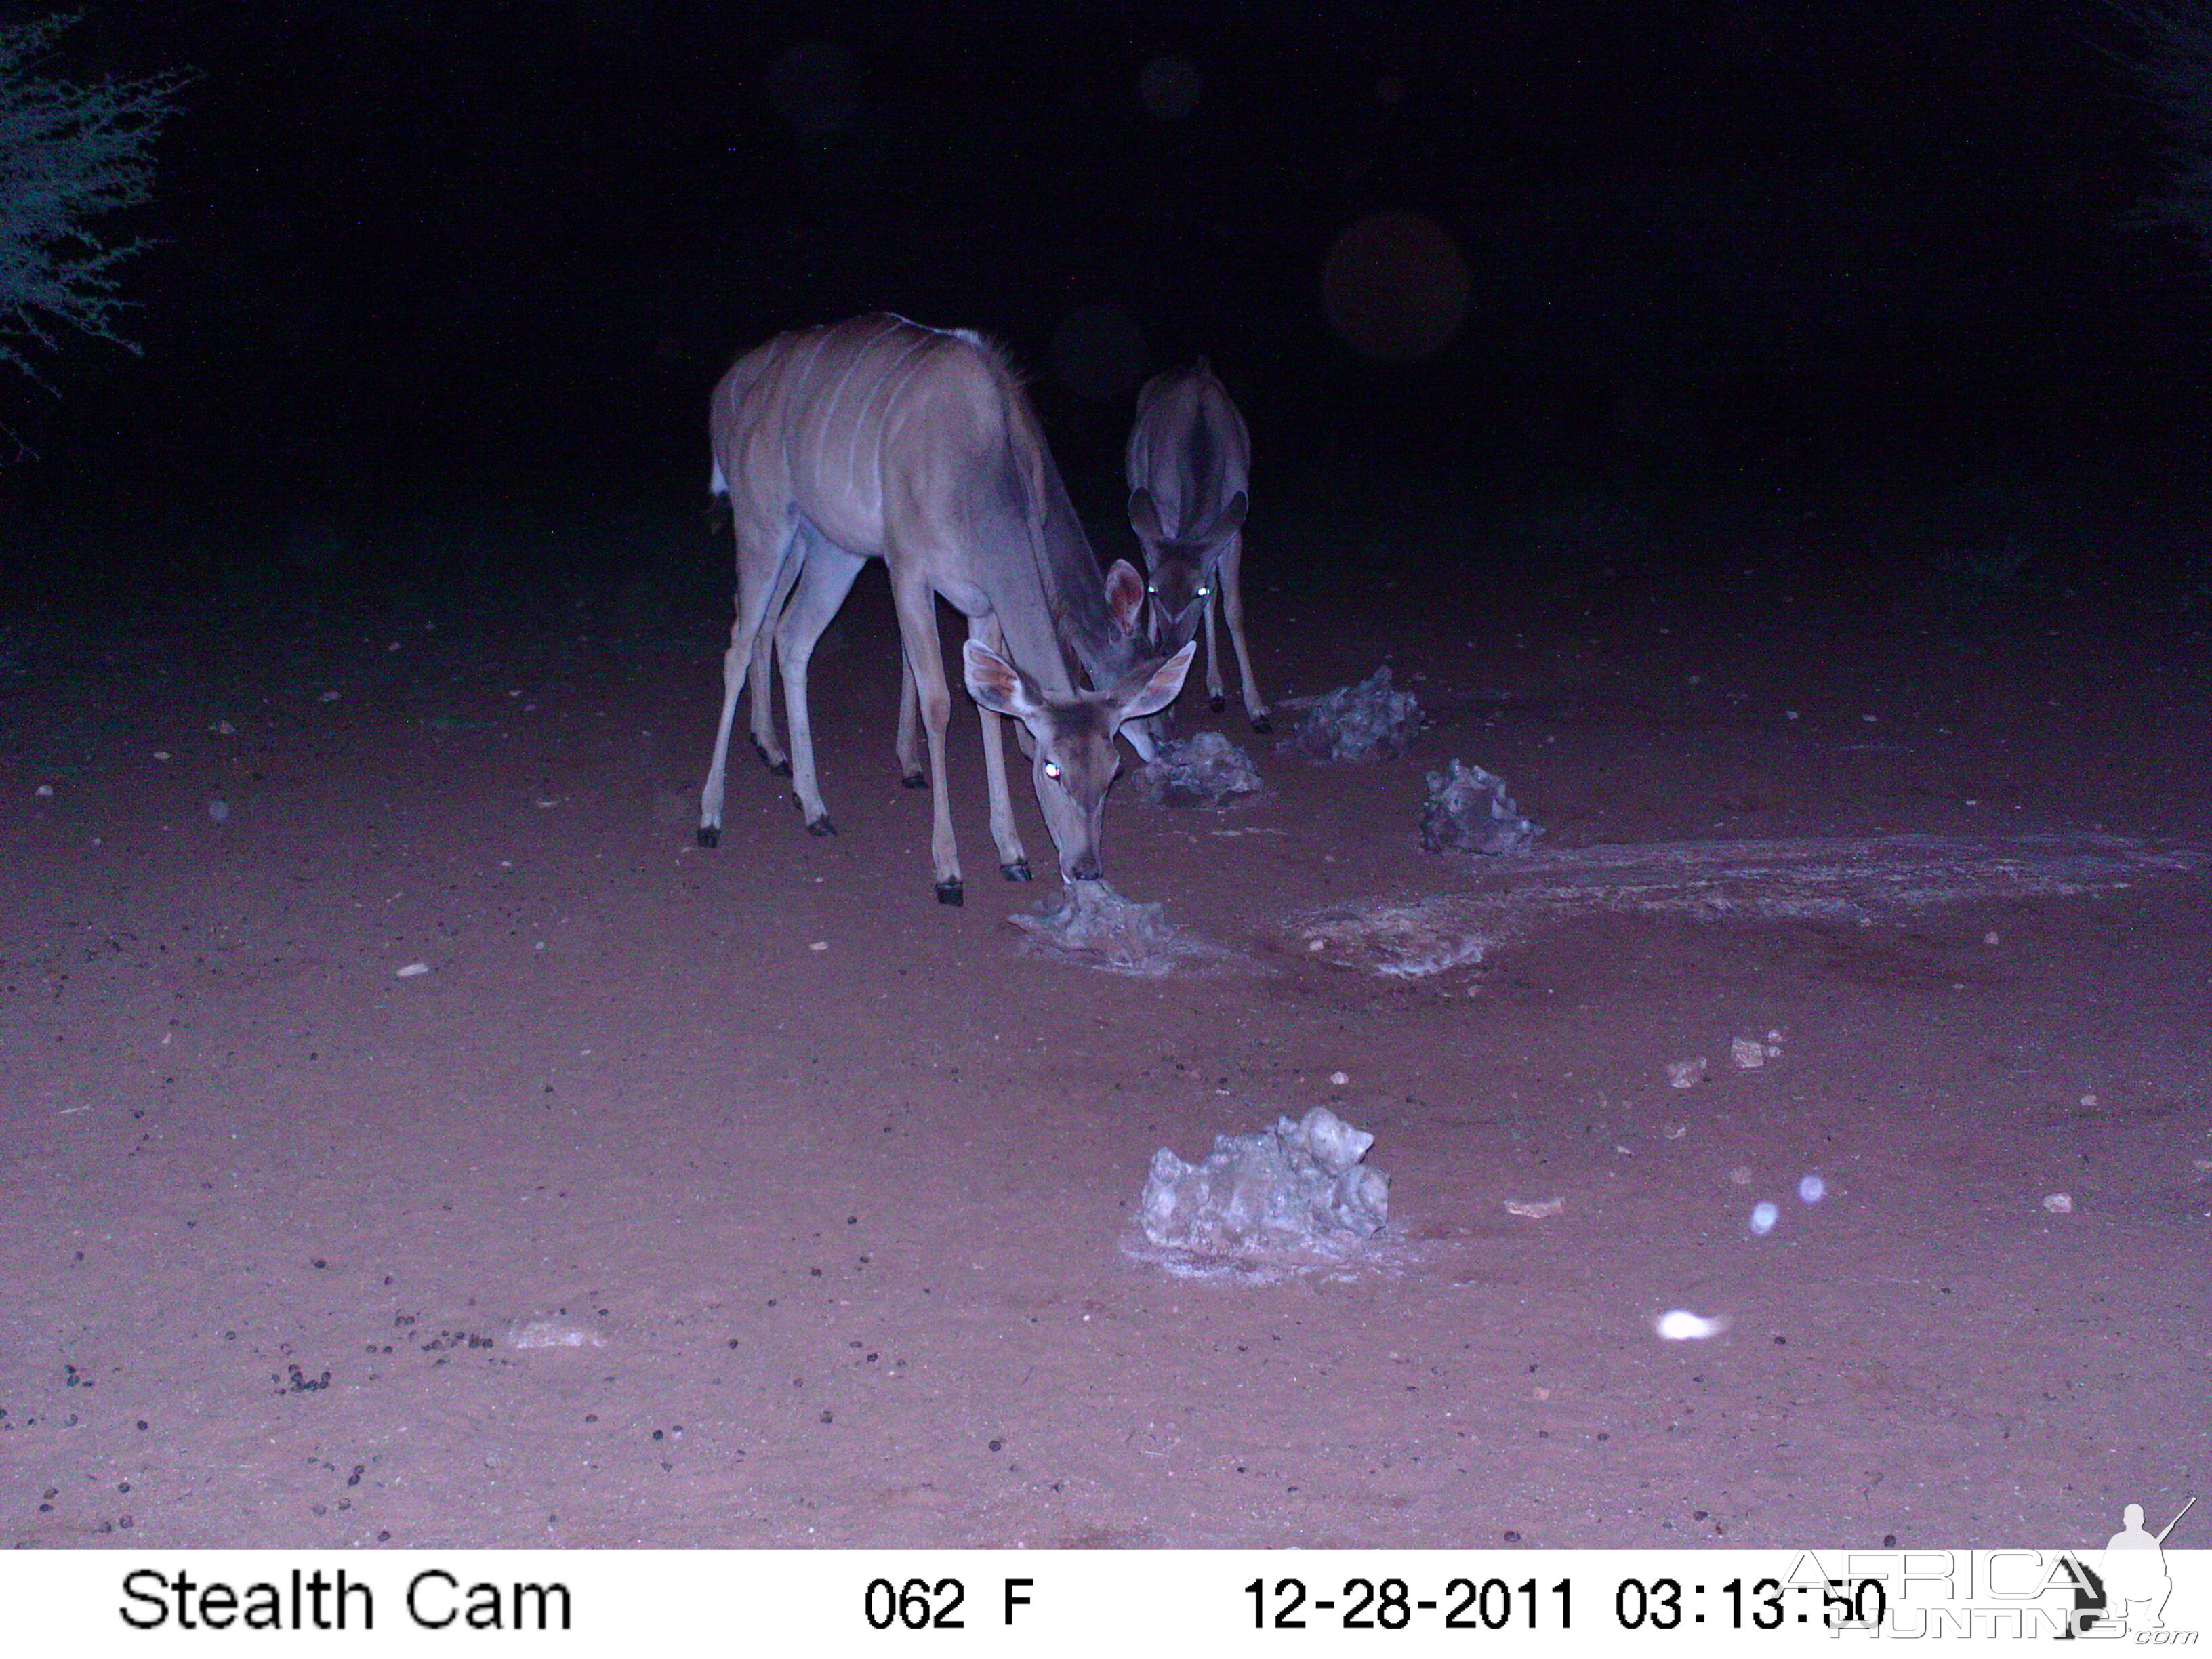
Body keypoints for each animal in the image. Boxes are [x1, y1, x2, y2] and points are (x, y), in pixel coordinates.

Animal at [703, 312, 1194, 911]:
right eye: (1051, 768)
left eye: (1111, 771)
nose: (1086, 867)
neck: (977, 468)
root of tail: (731, 391)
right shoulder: (907, 569)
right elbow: (938, 701)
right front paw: (948, 870)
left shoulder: (983, 600)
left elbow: (988, 706)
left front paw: (1012, 854)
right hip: (766, 524)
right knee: (740, 640)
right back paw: (713, 815)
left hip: (832, 548)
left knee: (792, 637)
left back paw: (813, 804)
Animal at [1132, 363, 1274, 734]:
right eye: (1153, 590)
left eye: (1196, 592)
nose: (1170, 649)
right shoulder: (1163, 515)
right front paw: (1165, 707)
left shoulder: (1233, 528)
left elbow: (1232, 609)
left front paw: (1257, 709)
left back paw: (1216, 689)